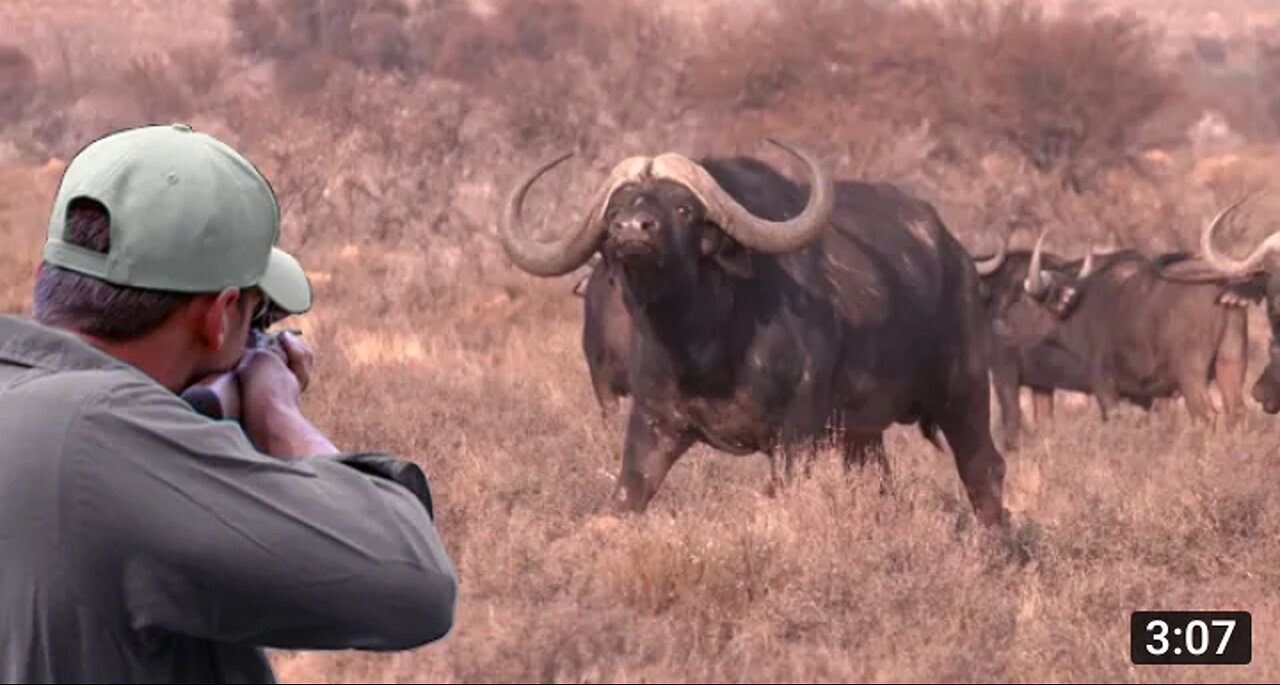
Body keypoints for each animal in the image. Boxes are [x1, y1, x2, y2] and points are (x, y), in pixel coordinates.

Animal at [494, 139, 1003, 524]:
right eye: (614, 210)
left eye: (683, 207)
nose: (631, 229)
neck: (704, 345)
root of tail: (957, 255)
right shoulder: (651, 422)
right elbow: (624, 499)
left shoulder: (795, 436)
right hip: (863, 432)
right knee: (881, 482)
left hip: (964, 393)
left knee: (984, 469)